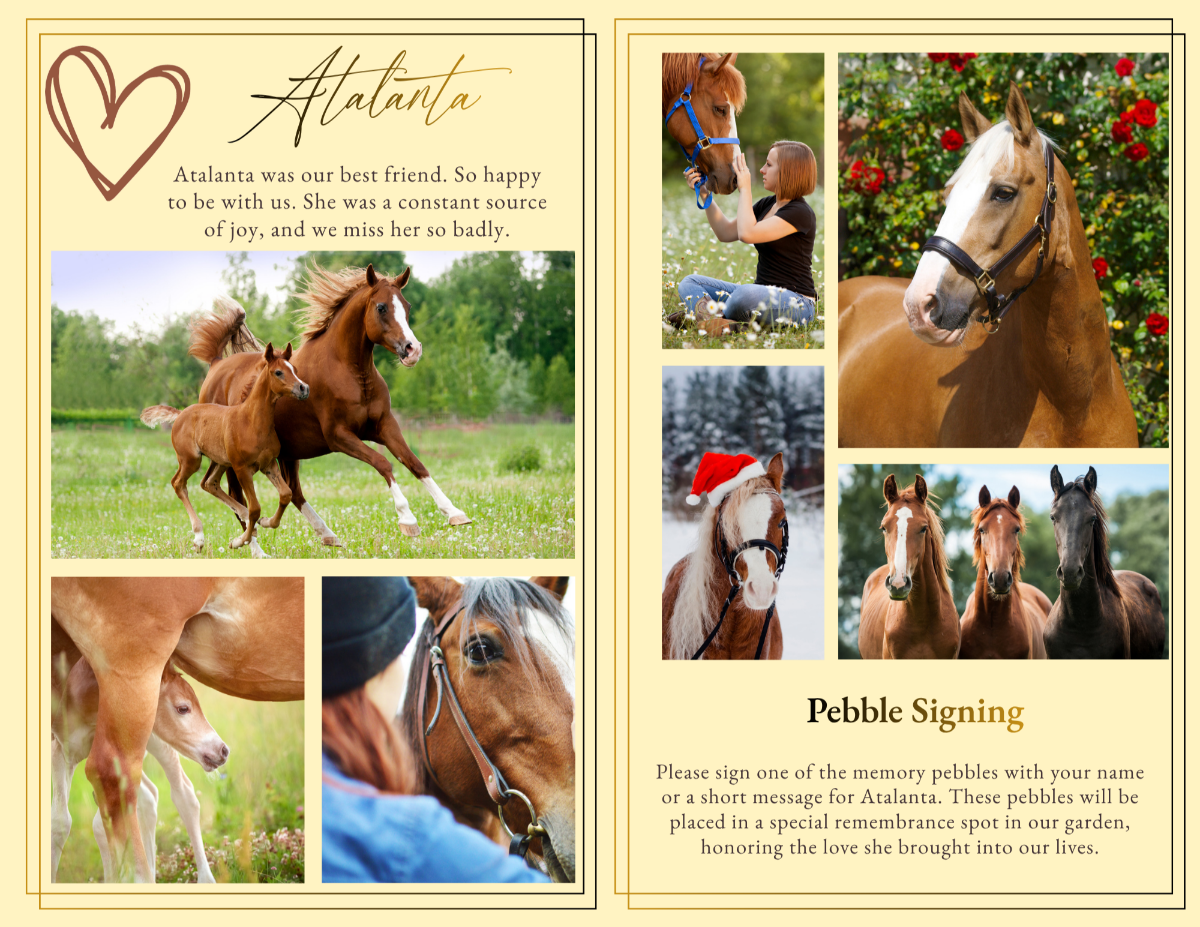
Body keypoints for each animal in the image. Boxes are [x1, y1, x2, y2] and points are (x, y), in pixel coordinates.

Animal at [51, 657, 227, 883]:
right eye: (183, 708)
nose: (223, 750)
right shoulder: (61, 750)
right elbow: (62, 823)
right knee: (147, 797)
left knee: (182, 794)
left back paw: (204, 879)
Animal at [141, 342, 309, 557]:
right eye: (278, 372)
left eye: (294, 369)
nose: (303, 388)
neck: (251, 421)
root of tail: (181, 414)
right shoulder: (241, 468)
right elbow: (255, 507)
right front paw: (239, 541)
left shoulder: (269, 464)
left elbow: (285, 494)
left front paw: (265, 522)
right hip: (191, 460)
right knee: (178, 483)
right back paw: (199, 538)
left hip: (220, 461)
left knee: (209, 483)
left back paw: (246, 520)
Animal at [191, 265, 470, 548]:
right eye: (381, 307)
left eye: (408, 306)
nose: (413, 350)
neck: (350, 372)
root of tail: (216, 364)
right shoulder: (339, 436)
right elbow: (383, 463)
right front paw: (408, 520)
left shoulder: (384, 426)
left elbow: (415, 463)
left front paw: (455, 513)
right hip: (234, 459)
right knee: (239, 498)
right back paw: (254, 547)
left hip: (288, 453)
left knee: (293, 492)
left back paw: (326, 534)